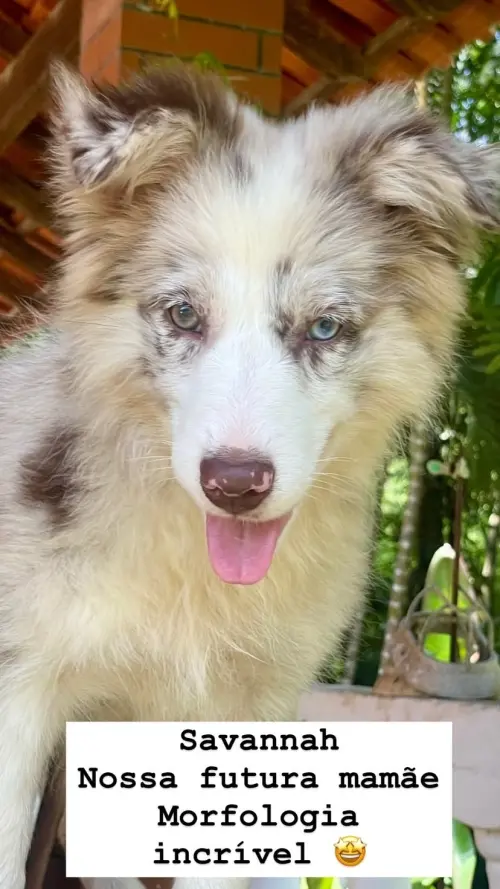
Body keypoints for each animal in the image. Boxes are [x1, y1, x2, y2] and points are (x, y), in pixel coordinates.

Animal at [0, 62, 498, 889]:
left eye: (324, 327)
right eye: (183, 315)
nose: (235, 484)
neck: (191, 584)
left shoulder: (252, 707)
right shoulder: (23, 691)